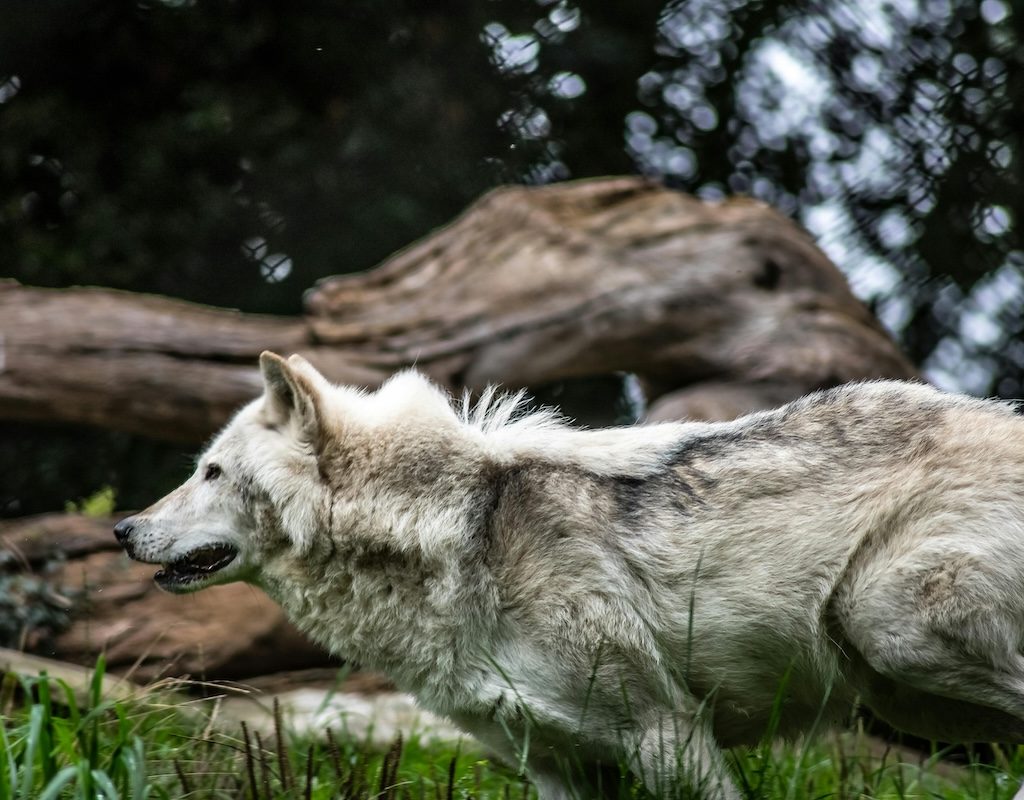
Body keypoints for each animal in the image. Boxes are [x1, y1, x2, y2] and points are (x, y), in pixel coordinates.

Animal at [115, 352, 1024, 799]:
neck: (445, 532)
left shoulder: (668, 734)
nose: (122, 529)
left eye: (211, 472)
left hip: (890, 631)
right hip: (907, 695)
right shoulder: (557, 768)